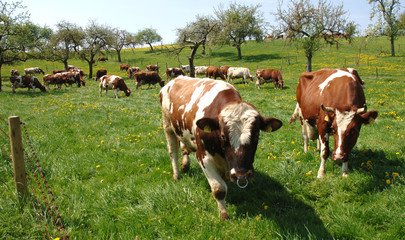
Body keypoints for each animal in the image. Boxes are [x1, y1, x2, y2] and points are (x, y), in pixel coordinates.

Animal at [158, 77, 280, 219]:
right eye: (223, 135)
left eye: (256, 135)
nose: (242, 174)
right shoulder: (203, 157)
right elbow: (219, 189)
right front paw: (224, 214)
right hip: (168, 126)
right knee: (173, 152)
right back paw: (176, 175)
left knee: (185, 148)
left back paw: (185, 165)